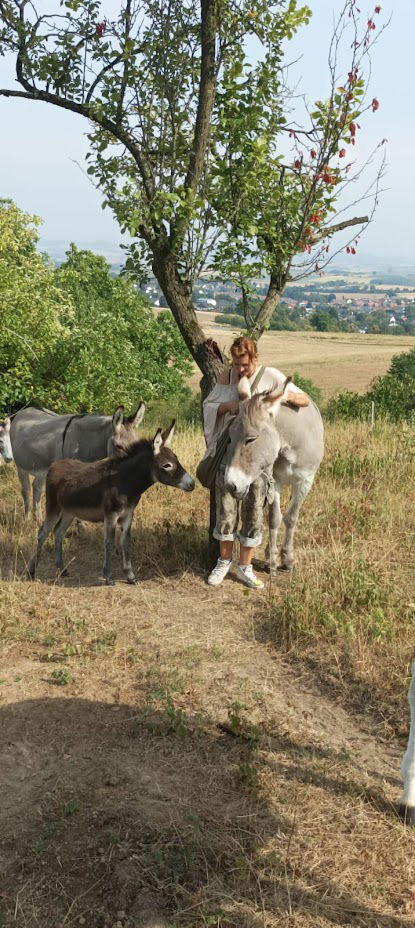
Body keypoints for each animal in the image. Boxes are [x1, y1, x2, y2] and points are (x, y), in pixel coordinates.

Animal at [28, 410, 196, 584]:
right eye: (167, 465)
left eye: (177, 459)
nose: (192, 484)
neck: (125, 481)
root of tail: (55, 465)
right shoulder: (110, 514)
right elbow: (108, 542)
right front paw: (108, 576)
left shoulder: (128, 514)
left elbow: (125, 542)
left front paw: (130, 576)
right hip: (54, 507)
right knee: (42, 532)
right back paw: (32, 571)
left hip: (69, 511)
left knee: (59, 532)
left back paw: (62, 569)